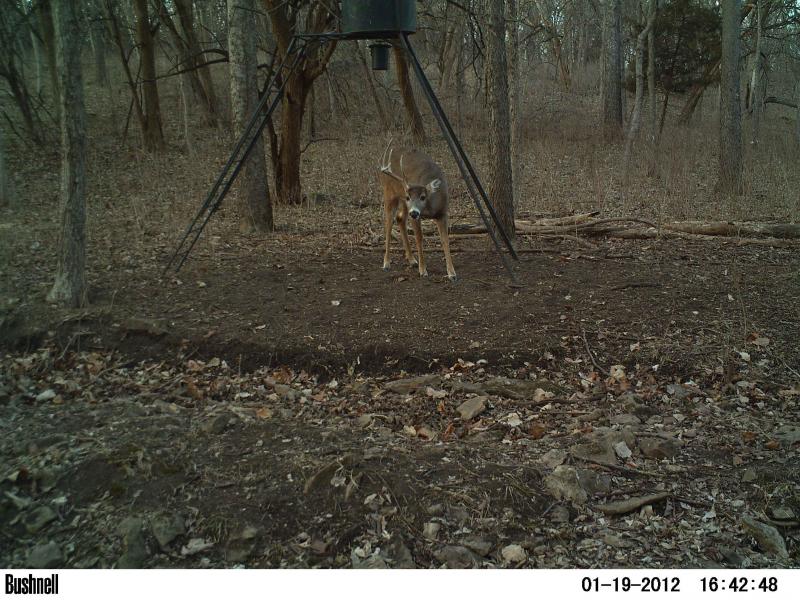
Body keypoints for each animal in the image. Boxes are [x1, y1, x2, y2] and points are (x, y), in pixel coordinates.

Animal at [376, 141, 456, 282]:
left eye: (423, 197)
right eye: (409, 196)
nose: (414, 212)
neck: (429, 208)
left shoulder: (442, 213)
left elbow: (445, 239)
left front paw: (452, 273)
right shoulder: (415, 215)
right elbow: (419, 238)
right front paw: (423, 270)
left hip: (403, 204)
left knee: (400, 218)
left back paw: (412, 260)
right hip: (389, 193)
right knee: (388, 223)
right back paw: (386, 262)